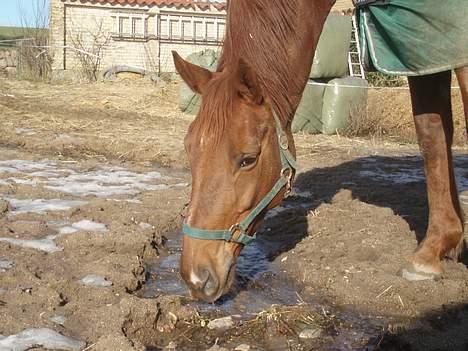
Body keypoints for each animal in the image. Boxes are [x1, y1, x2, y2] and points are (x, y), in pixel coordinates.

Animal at [175, 0, 468, 302]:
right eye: (189, 150)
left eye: (248, 159)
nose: (195, 277)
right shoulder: (420, 51)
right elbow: (432, 136)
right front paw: (438, 248)